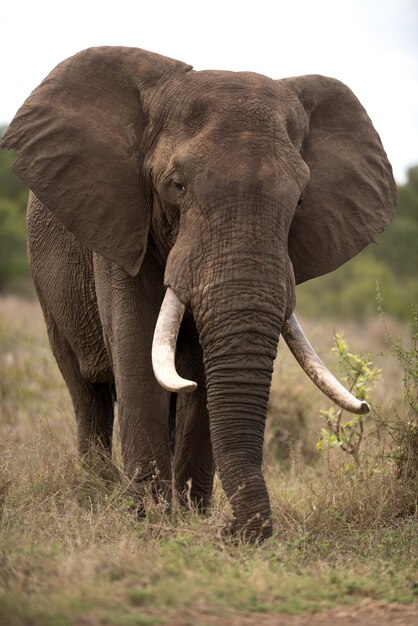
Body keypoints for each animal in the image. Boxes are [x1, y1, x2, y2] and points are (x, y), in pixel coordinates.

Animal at [0, 46, 396, 540]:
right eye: (177, 186)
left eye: (301, 199)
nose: (233, 530)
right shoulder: (121, 223)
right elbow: (136, 352)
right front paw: (148, 521)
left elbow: (202, 378)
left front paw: (191, 518)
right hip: (49, 286)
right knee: (86, 391)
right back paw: (95, 490)